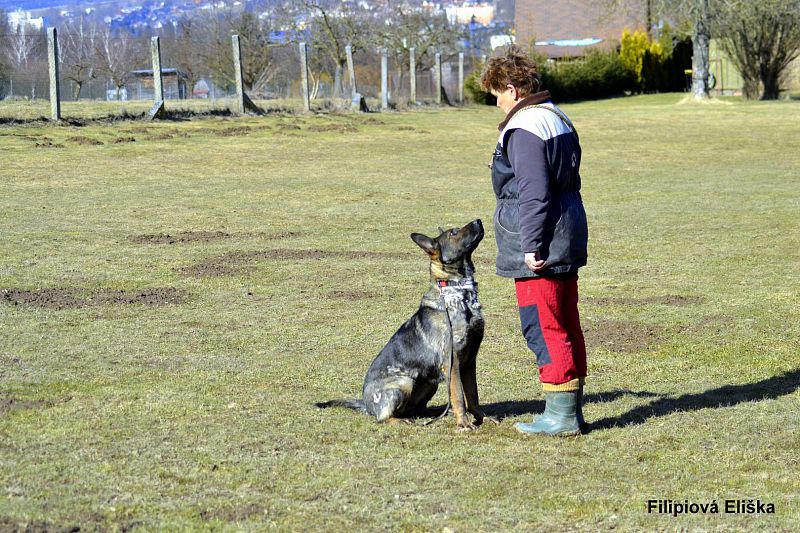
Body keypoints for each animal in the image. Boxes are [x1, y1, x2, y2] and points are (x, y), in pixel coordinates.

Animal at [314, 218, 494, 430]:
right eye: (453, 233)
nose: (479, 220)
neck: (458, 291)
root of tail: (365, 404)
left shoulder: (470, 361)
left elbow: (473, 395)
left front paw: (482, 418)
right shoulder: (453, 362)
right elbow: (458, 396)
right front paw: (464, 423)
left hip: (430, 383)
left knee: (417, 409)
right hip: (404, 382)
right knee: (384, 417)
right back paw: (401, 419)